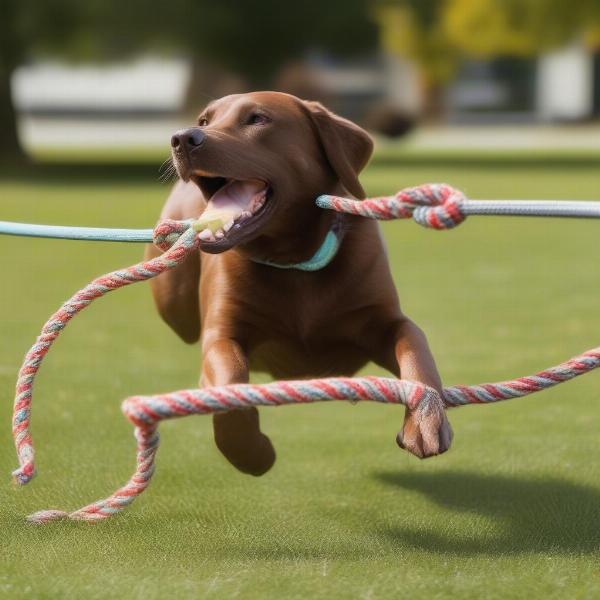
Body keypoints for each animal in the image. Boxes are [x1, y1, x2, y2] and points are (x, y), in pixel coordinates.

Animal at [146, 91, 450, 476]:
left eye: (257, 119)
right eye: (204, 120)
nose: (182, 138)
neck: (293, 261)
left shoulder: (386, 322)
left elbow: (417, 355)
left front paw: (425, 420)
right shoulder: (222, 334)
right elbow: (228, 386)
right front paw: (252, 452)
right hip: (173, 300)